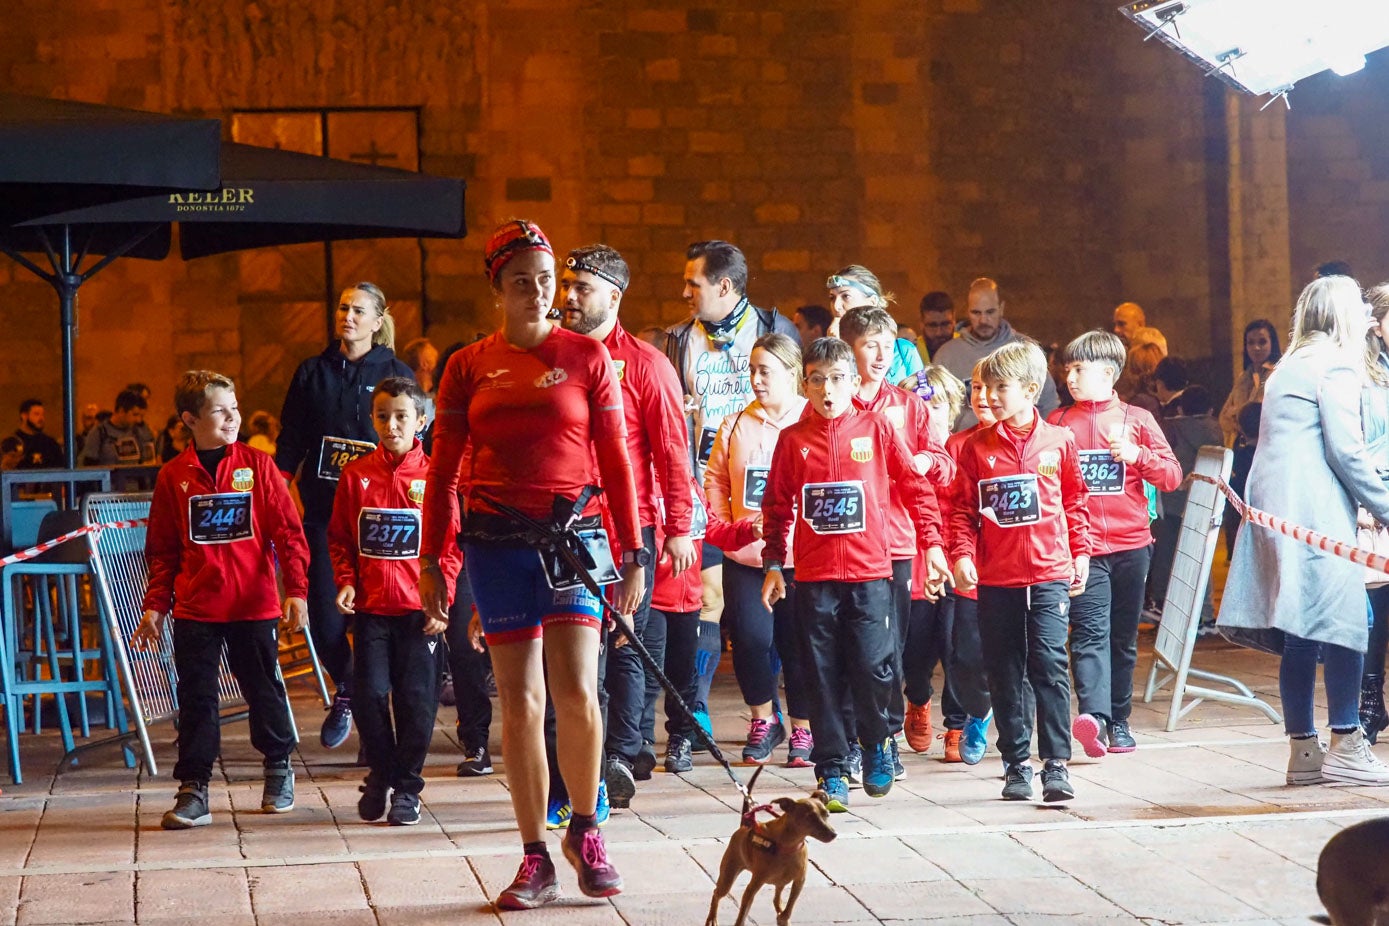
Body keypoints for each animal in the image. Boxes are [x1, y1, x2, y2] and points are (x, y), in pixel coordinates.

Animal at [705, 783, 833, 926]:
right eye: (809, 817)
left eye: (827, 814)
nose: (834, 834)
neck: (789, 845)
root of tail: (744, 825)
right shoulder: (752, 887)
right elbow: (742, 915)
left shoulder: (799, 881)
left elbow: (790, 907)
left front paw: (783, 917)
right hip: (728, 877)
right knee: (717, 893)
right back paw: (712, 918)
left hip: (781, 882)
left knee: (777, 899)